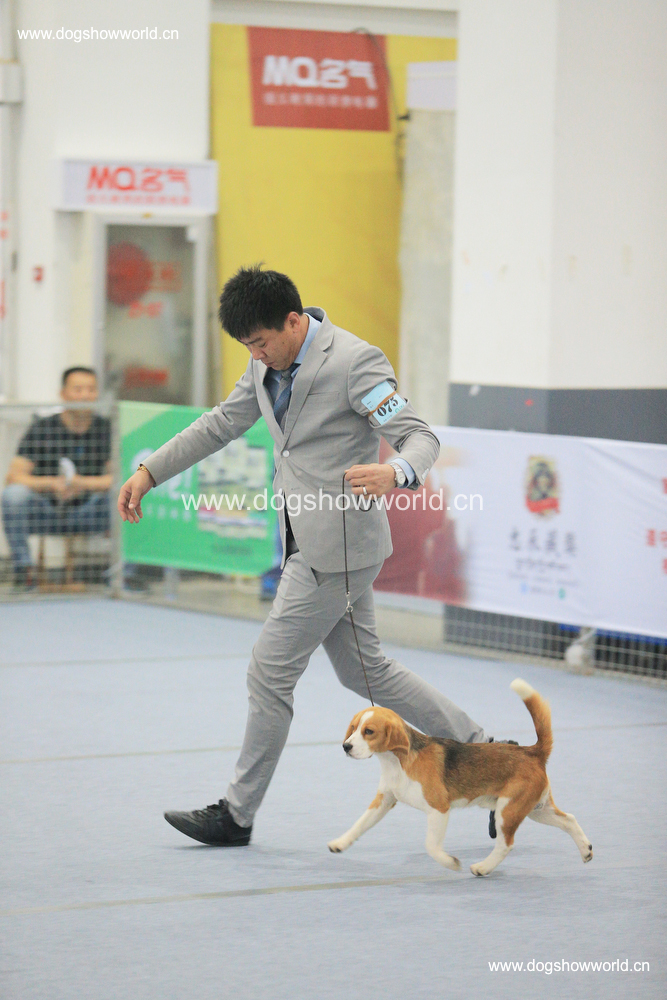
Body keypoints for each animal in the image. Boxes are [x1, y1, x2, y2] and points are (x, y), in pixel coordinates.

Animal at [328, 678, 593, 877]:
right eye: (353, 728)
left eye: (369, 731)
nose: (346, 746)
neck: (398, 761)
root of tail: (532, 751)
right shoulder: (384, 800)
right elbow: (359, 825)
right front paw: (340, 843)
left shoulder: (439, 809)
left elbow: (431, 846)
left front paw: (451, 863)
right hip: (535, 809)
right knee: (569, 819)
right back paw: (586, 850)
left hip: (508, 811)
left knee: (505, 844)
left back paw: (483, 867)